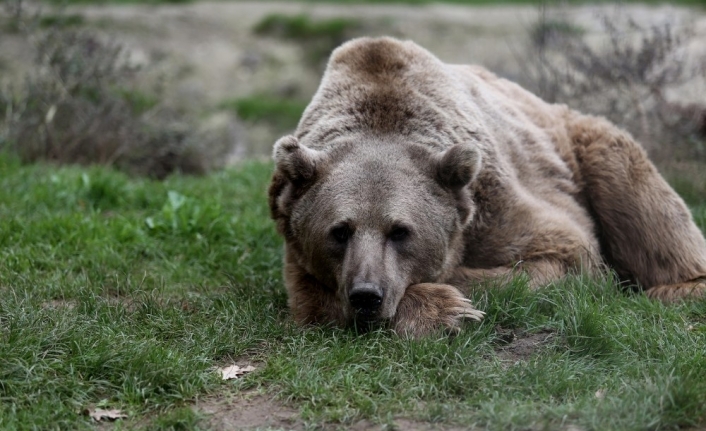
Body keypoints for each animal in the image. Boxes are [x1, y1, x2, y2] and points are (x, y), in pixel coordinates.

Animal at [266, 37, 700, 340]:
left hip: (584, 144)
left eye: (400, 231)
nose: (367, 295)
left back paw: (678, 288)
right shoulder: (297, 249)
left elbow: (563, 255)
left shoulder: (496, 205)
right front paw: (441, 309)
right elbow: (316, 302)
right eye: (339, 231)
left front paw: (452, 305)